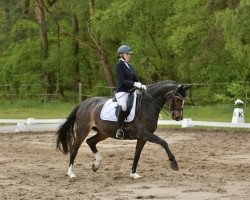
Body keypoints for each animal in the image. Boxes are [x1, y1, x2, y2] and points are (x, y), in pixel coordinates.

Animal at [55, 80, 191, 179]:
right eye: (177, 99)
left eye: (183, 100)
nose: (178, 118)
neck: (147, 105)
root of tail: (84, 103)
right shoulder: (145, 134)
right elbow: (164, 142)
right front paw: (174, 163)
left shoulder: (142, 138)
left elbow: (137, 154)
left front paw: (133, 173)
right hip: (83, 130)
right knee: (74, 149)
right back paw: (71, 173)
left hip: (103, 132)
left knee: (91, 142)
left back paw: (96, 165)